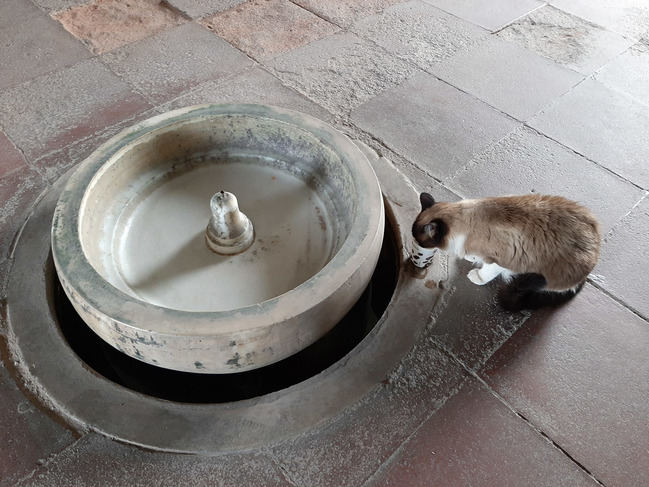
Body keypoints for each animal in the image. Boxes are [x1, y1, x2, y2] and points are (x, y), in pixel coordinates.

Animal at [412, 193, 600, 310]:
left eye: (419, 241)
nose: (415, 246)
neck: (467, 219)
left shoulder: (500, 260)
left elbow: (486, 272)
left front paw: (476, 276)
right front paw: (471, 257)